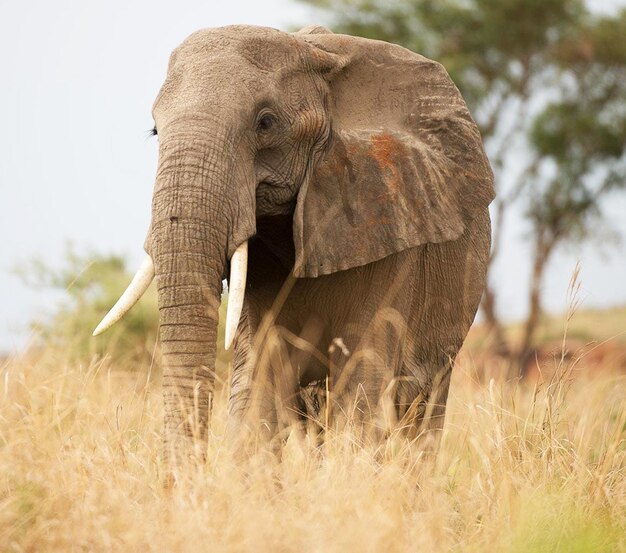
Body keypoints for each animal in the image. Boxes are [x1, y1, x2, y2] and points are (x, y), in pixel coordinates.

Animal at [92, 24, 492, 466]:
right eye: (155, 131)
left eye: (265, 123)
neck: (317, 56)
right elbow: (260, 383)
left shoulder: (390, 222)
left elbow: (362, 384)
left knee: (420, 412)